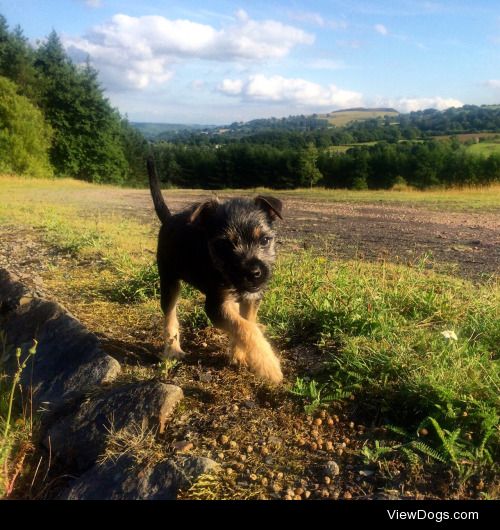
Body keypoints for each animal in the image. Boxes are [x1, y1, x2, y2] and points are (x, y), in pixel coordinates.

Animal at [146, 157, 284, 384]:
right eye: (225, 245)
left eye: (264, 240)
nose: (254, 274)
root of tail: (169, 219)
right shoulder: (214, 306)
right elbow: (246, 328)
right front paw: (268, 365)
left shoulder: (251, 298)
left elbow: (246, 322)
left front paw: (238, 353)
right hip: (169, 282)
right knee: (170, 316)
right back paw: (173, 350)